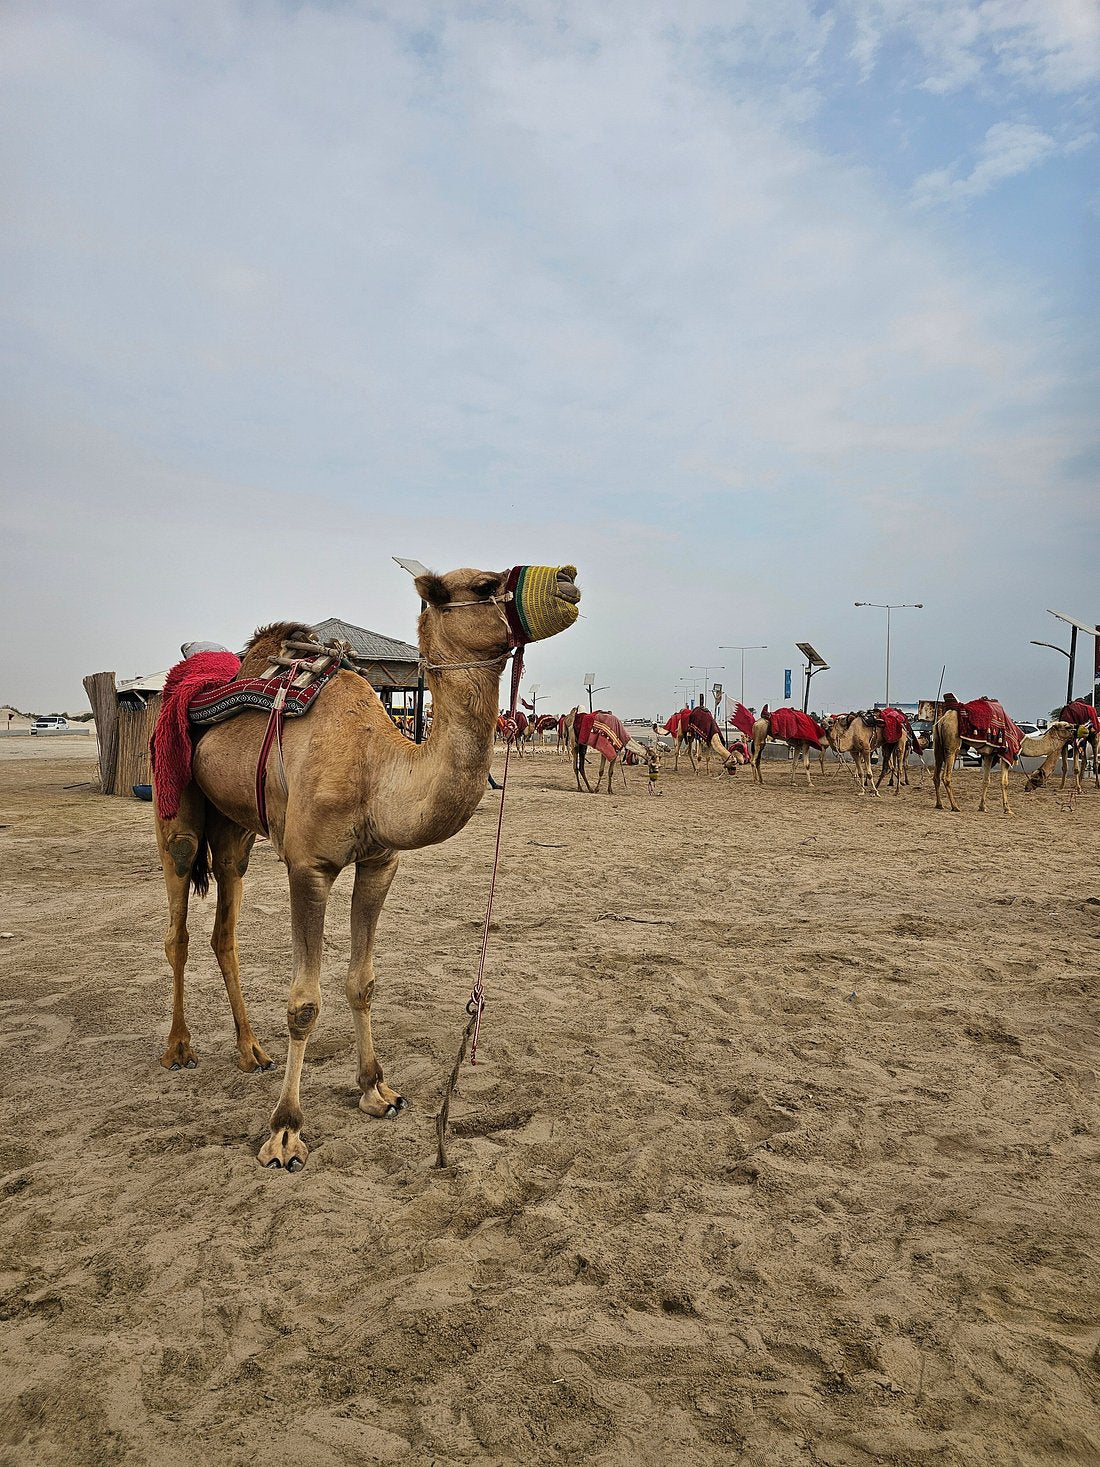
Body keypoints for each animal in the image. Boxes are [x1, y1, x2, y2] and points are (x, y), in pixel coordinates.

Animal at [154, 564, 580, 1170]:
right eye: (480, 585)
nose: (568, 578)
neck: (376, 770)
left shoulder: (379, 863)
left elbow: (363, 982)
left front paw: (377, 1090)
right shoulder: (308, 866)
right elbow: (304, 1003)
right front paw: (285, 1132)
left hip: (234, 825)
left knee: (224, 924)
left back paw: (251, 1050)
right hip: (176, 800)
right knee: (179, 915)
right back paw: (179, 1047)